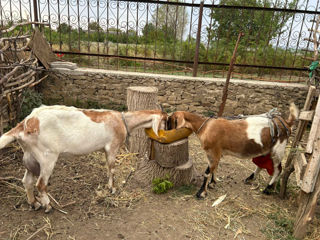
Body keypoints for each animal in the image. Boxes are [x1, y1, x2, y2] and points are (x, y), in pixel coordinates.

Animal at [0, 105, 166, 212]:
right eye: (167, 121)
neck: (122, 121)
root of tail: (25, 124)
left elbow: (108, 169)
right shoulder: (112, 147)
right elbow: (112, 169)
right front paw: (112, 189)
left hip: (31, 157)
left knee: (27, 181)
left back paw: (34, 203)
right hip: (47, 157)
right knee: (40, 184)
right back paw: (48, 206)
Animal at [169, 103, 298, 199]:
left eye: (170, 121)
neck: (205, 127)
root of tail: (286, 123)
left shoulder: (213, 152)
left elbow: (207, 172)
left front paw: (201, 193)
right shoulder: (217, 153)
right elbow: (214, 168)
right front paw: (212, 183)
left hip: (278, 149)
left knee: (278, 169)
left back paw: (268, 188)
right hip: (266, 149)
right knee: (261, 165)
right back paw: (250, 178)